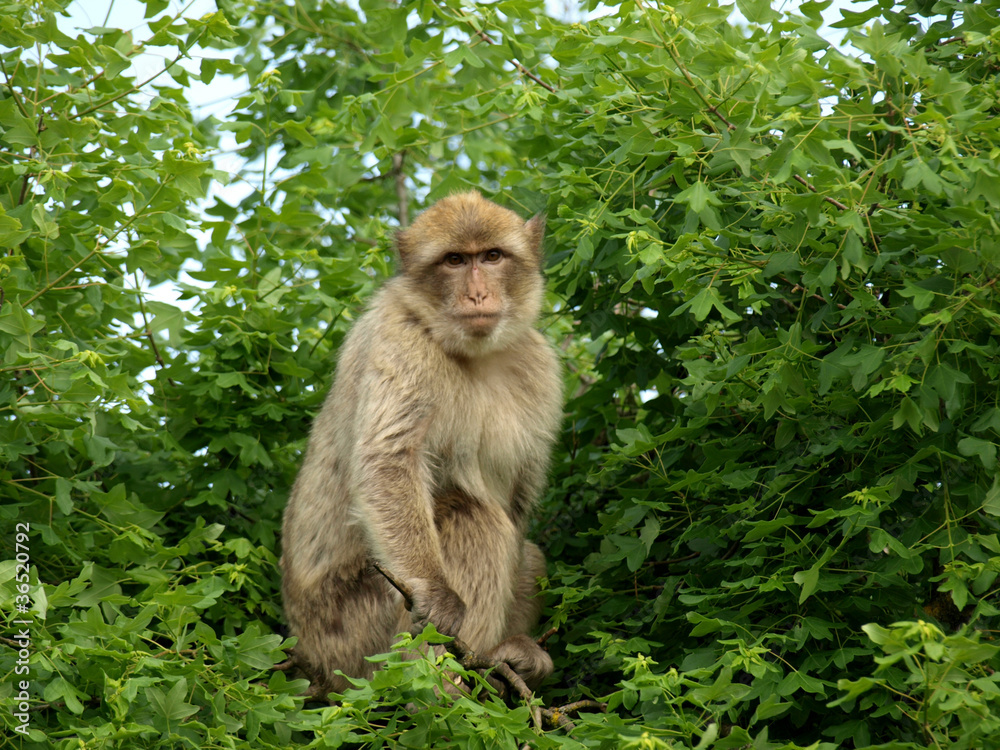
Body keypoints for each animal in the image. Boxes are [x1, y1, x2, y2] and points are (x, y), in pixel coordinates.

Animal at [280, 191, 563, 697]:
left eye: (492, 256)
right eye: (454, 261)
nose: (477, 294)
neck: (472, 353)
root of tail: (311, 660)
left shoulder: (540, 367)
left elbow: (518, 502)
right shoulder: (401, 342)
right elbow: (388, 462)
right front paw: (437, 593)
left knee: (521, 547)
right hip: (353, 633)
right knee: (471, 517)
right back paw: (436, 690)